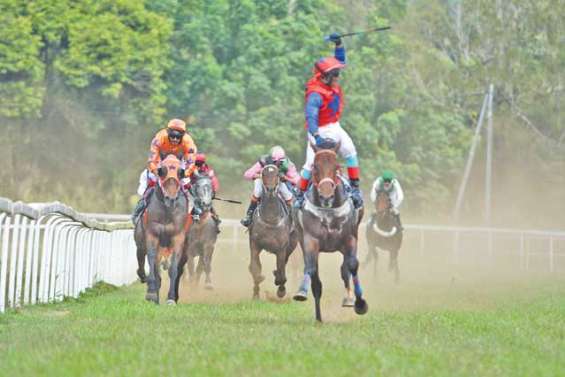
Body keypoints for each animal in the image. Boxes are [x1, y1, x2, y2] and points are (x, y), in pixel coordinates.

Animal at [135, 154, 192, 304]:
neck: (167, 210)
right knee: (142, 257)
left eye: (180, 172)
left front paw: (171, 298)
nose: (170, 198)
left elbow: (174, 269)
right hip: (141, 241)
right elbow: (151, 260)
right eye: (162, 171)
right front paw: (151, 293)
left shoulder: (178, 237)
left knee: (179, 268)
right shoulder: (152, 235)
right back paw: (145, 279)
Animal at [294, 142, 368, 322]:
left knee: (345, 268)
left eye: (337, 167)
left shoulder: (349, 238)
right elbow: (312, 271)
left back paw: (349, 298)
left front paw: (360, 303)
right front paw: (317, 316)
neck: (328, 210)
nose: (326, 195)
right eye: (315, 167)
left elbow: (352, 265)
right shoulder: (310, 241)